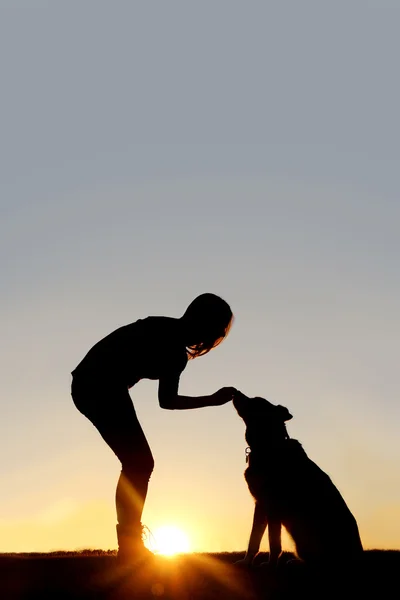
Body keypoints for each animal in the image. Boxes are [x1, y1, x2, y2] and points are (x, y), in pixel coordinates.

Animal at [233, 392, 364, 568]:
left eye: (256, 401)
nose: (235, 392)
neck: (269, 445)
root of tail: (358, 558)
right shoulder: (260, 504)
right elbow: (254, 539)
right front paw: (246, 561)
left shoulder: (273, 506)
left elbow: (274, 542)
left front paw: (271, 564)